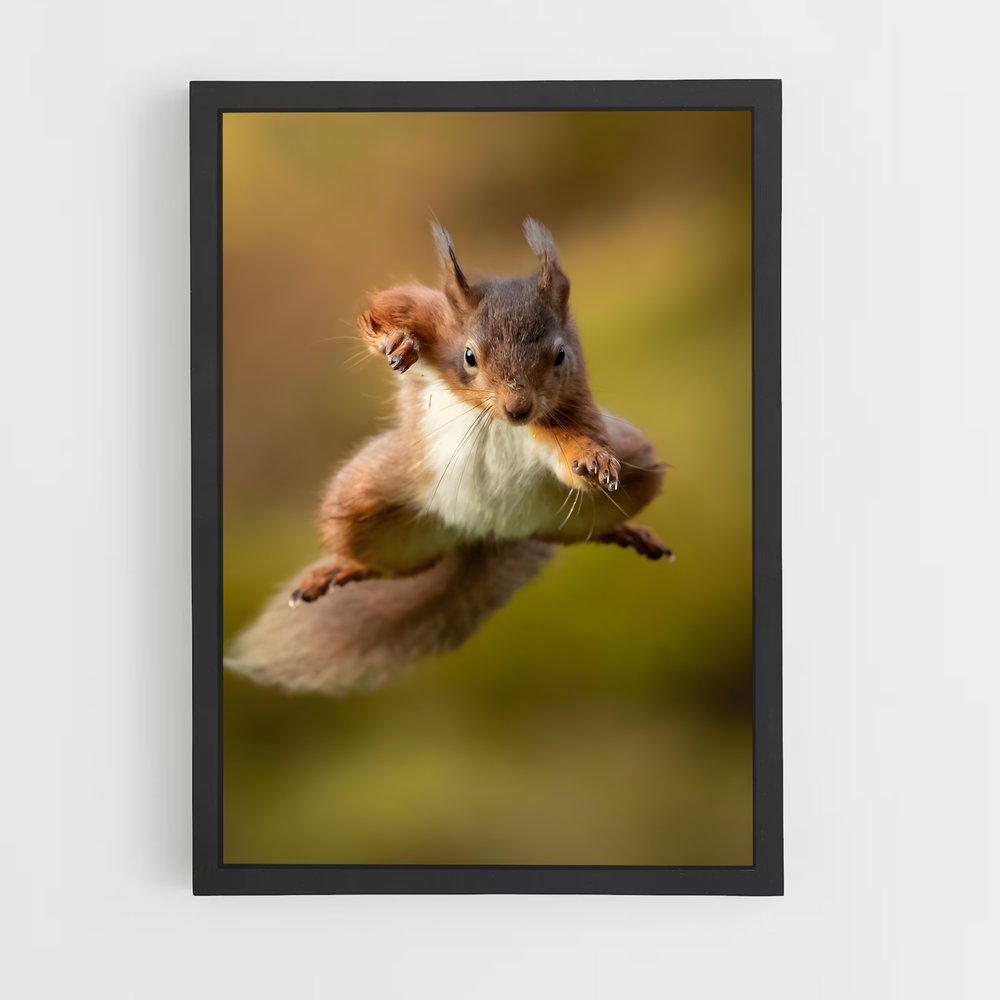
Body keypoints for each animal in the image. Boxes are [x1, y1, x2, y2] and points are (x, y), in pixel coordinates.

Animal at [226, 219, 671, 694]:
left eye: (561, 356)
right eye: (469, 356)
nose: (518, 410)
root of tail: (487, 533)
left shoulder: (573, 407)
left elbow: (576, 445)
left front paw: (593, 458)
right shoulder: (432, 315)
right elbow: (388, 307)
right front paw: (396, 341)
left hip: (633, 473)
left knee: (568, 532)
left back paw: (622, 531)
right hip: (360, 506)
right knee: (390, 564)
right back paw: (340, 570)